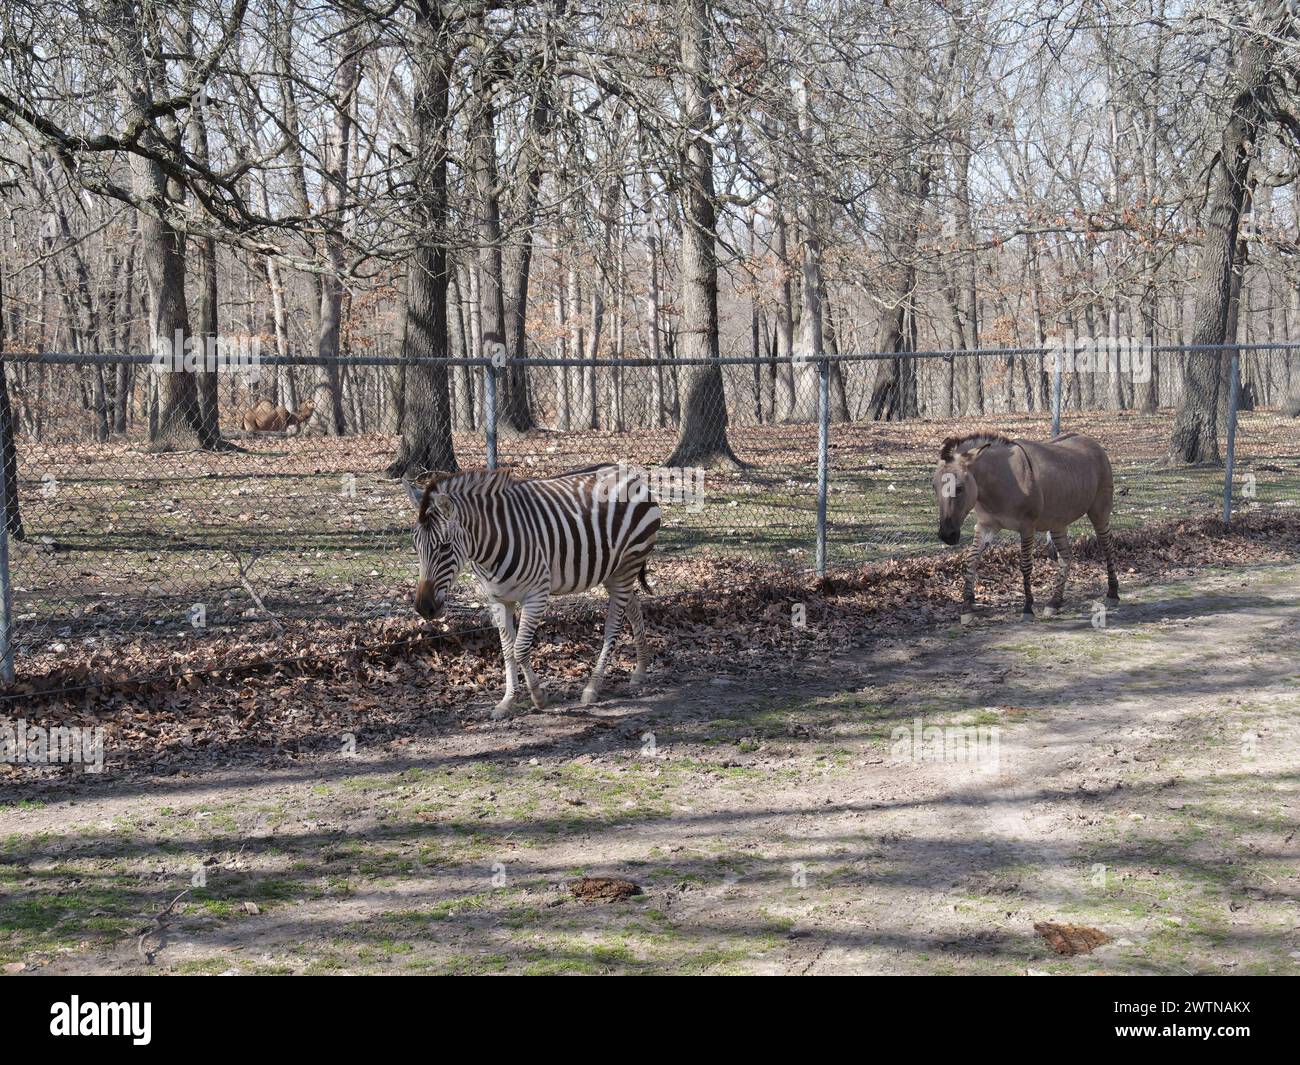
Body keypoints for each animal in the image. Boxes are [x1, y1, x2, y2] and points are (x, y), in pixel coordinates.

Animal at [403, 465, 660, 723]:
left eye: (445, 547)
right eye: (415, 546)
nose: (424, 607)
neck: (491, 545)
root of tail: (628, 473)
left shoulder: (536, 595)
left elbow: (520, 648)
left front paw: (538, 697)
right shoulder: (497, 600)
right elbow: (507, 650)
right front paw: (507, 702)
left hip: (628, 563)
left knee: (613, 625)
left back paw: (593, 687)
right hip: (612, 571)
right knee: (633, 608)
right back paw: (640, 669)